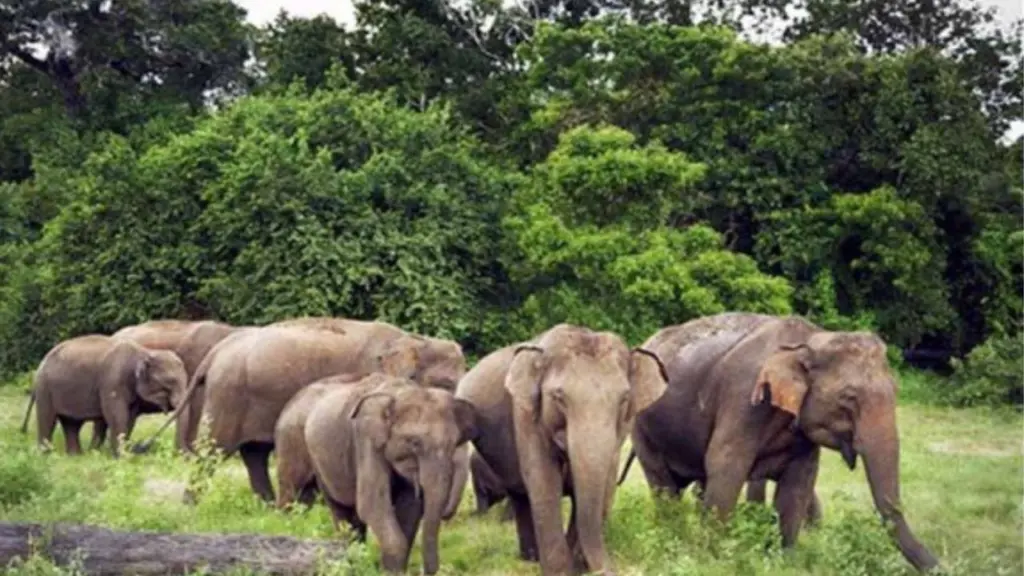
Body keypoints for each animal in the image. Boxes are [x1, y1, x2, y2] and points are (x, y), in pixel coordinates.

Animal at [31, 334, 188, 457]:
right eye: (170, 381)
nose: (141, 447)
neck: (144, 352)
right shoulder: (112, 381)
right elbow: (117, 414)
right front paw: (123, 457)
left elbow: (130, 418)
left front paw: (122, 454)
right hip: (44, 388)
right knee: (47, 419)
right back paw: (45, 455)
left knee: (72, 423)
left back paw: (76, 456)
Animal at [133, 319, 468, 504]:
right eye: (446, 384)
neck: (414, 339)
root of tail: (217, 351)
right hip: (228, 395)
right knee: (215, 451)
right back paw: (192, 504)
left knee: (254, 453)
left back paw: (268, 506)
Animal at [302, 373, 478, 574]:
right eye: (414, 442)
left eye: (453, 444)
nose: (427, 571)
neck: (399, 393)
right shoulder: (366, 440)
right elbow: (372, 504)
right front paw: (389, 571)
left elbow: (411, 508)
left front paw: (392, 569)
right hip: (317, 461)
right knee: (341, 511)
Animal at [456, 323, 669, 576]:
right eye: (558, 396)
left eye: (624, 398)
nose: (610, 568)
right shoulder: (526, 415)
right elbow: (545, 481)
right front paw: (562, 571)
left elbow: (603, 485)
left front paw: (576, 566)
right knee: (521, 495)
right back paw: (530, 559)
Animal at [628, 316, 939, 572]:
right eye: (849, 398)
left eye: (896, 391)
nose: (941, 566)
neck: (810, 341)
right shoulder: (743, 399)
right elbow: (726, 466)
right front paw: (713, 559)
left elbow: (799, 483)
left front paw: (785, 561)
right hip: (641, 425)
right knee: (664, 486)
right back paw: (671, 540)